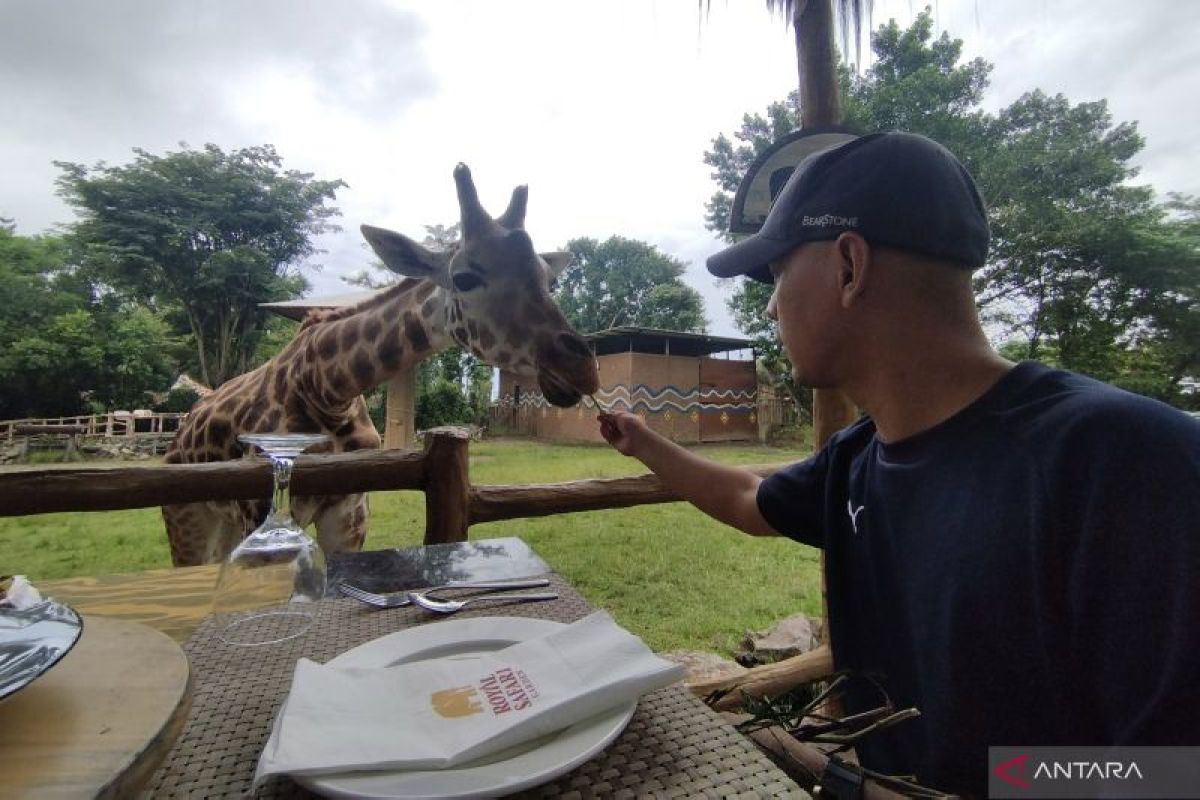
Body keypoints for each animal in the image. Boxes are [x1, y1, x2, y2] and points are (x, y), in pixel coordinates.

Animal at [162, 163, 600, 566]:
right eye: (464, 277)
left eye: (549, 280)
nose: (582, 368)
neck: (326, 389)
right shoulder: (260, 510)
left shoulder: (349, 513)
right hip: (188, 520)